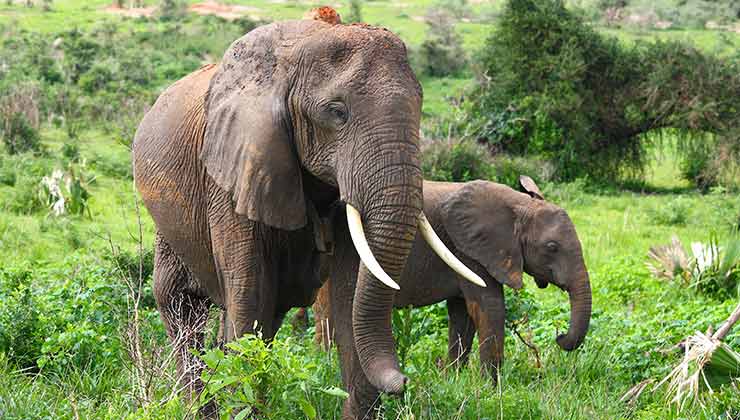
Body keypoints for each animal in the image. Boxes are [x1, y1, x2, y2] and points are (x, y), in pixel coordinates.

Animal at [131, 18, 482, 418]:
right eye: (337, 112)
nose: (404, 381)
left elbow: (349, 295)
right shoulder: (231, 173)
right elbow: (249, 293)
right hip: (168, 225)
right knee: (182, 305)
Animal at [310, 176, 588, 378]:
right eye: (552, 247)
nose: (560, 337)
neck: (520, 205)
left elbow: (463, 313)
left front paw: (453, 378)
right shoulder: (468, 250)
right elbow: (489, 307)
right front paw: (490, 387)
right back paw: (324, 364)